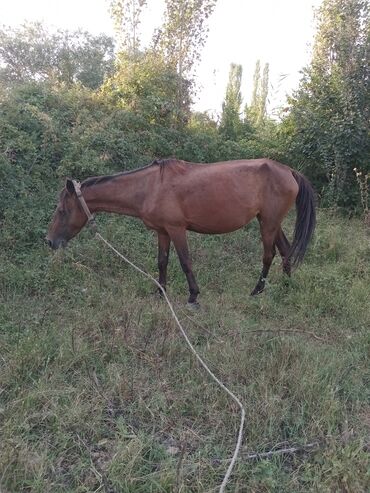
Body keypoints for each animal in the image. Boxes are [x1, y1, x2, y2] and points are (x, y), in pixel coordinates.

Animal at [46, 158, 316, 304]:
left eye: (61, 210)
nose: (49, 241)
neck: (151, 187)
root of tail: (289, 171)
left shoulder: (177, 230)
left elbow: (185, 262)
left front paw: (193, 296)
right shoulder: (162, 232)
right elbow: (162, 261)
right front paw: (160, 292)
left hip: (267, 223)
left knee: (269, 255)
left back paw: (257, 290)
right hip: (271, 222)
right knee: (286, 251)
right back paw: (285, 287)